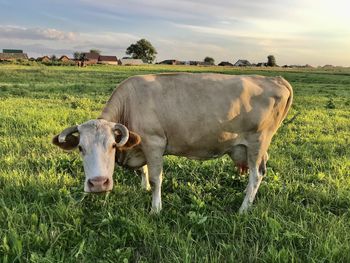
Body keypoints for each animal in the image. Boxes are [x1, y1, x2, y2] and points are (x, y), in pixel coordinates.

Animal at [52, 73, 292, 213]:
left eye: (112, 146)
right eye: (81, 148)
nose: (98, 184)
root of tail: (277, 79)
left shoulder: (154, 142)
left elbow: (156, 177)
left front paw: (156, 208)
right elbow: (143, 171)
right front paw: (144, 188)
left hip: (258, 141)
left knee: (257, 174)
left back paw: (244, 209)